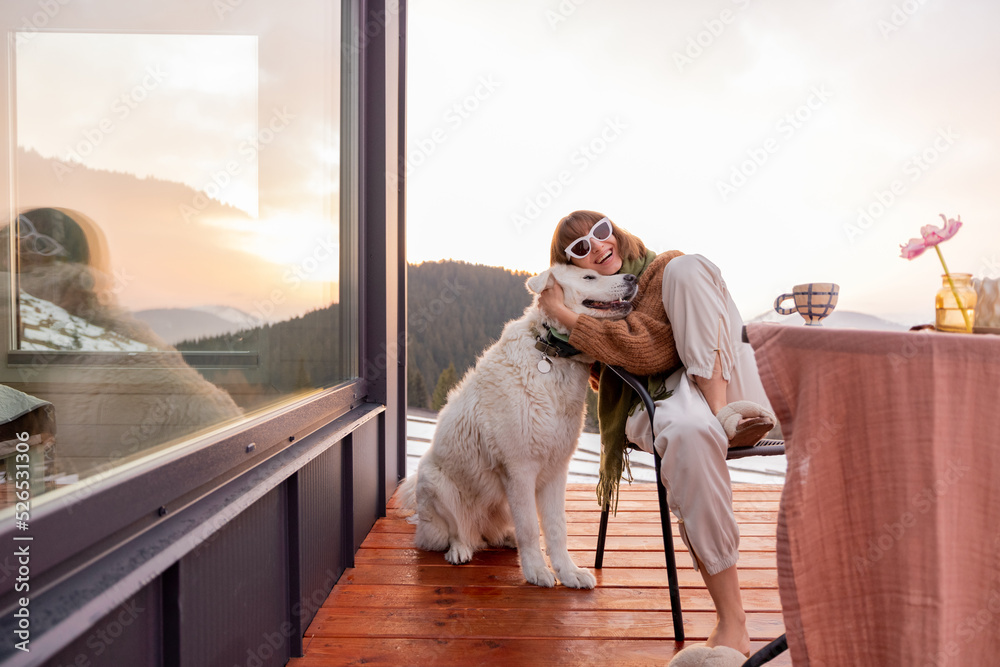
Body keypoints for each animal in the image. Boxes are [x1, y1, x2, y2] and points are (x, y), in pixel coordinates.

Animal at [396, 266, 636, 588]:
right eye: (588, 277)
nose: (632, 278)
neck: (551, 355)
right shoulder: (520, 469)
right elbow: (531, 528)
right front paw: (536, 571)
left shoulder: (556, 470)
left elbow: (557, 527)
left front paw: (568, 572)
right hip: (433, 482)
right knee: (458, 531)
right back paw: (460, 550)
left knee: (488, 535)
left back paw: (504, 539)